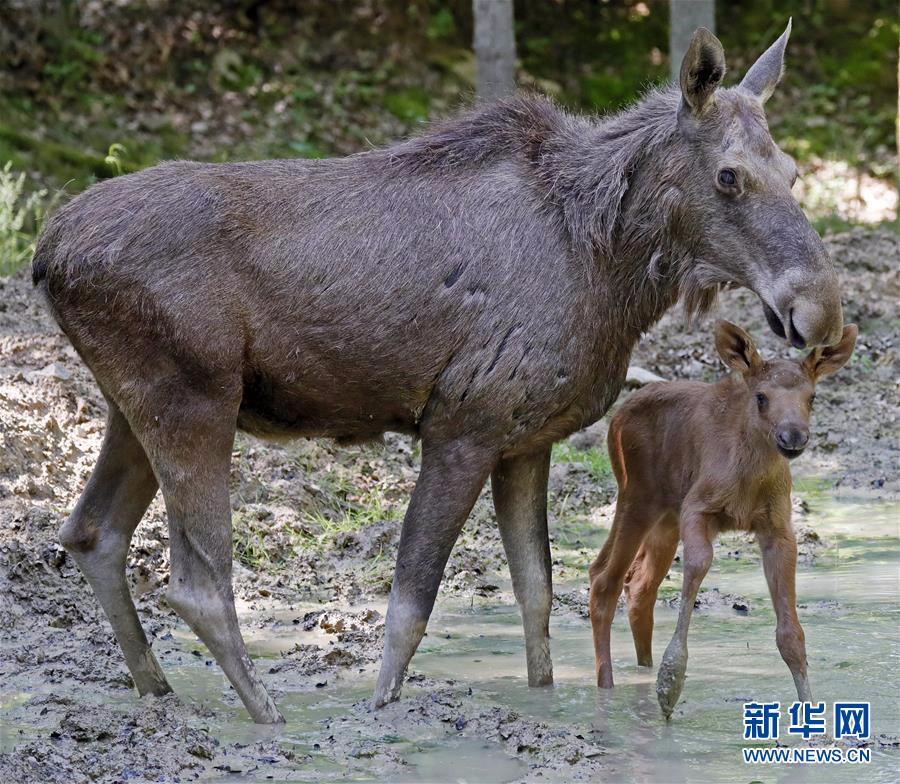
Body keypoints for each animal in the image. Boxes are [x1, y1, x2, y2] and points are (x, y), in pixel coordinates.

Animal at [592, 316, 856, 716]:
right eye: (761, 397)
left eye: (812, 397)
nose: (793, 436)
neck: (749, 479)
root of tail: (615, 418)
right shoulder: (697, 506)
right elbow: (700, 562)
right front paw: (671, 682)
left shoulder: (777, 526)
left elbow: (791, 632)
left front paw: (812, 714)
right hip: (637, 496)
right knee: (604, 580)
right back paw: (607, 690)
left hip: (664, 516)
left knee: (638, 585)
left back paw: (642, 675)